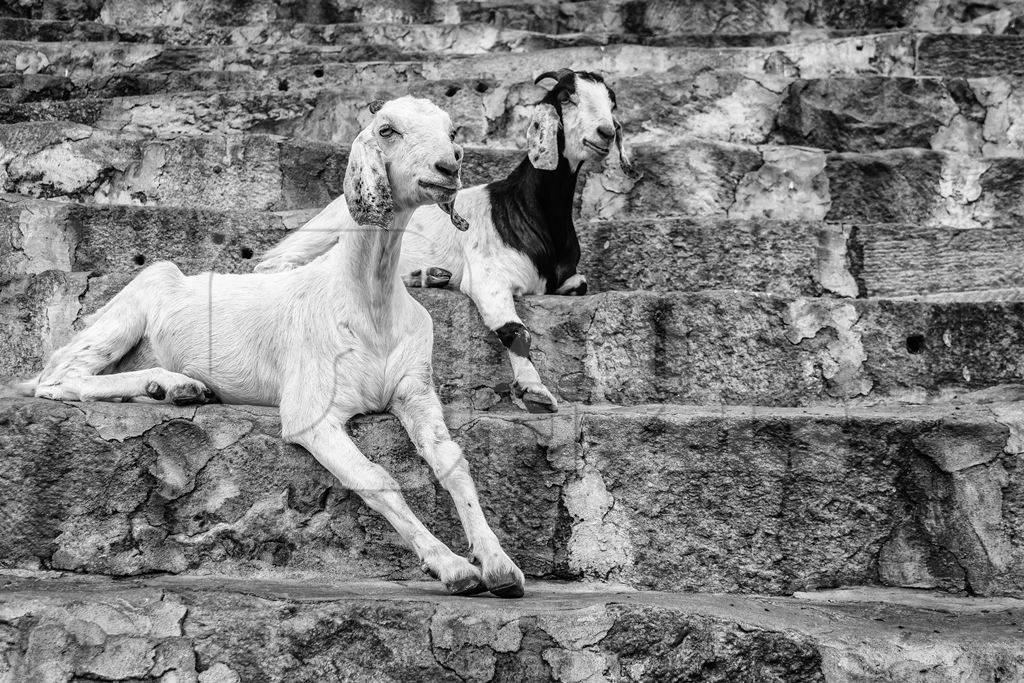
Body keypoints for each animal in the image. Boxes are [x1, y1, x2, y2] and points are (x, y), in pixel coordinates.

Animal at [17, 96, 528, 598]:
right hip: (134, 300)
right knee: (59, 376)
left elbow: (453, 463)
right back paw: (169, 384)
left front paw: (500, 564)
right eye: (387, 129)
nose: (448, 166)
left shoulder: (415, 391)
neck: (370, 305)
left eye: (452, 131)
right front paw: (452, 566)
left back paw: (176, 389)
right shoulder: (311, 412)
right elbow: (377, 478)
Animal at [258, 68, 622, 411]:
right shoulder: (487, 275)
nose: (606, 132)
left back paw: (428, 276)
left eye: (611, 102)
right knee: (274, 266)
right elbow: (514, 328)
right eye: (567, 97)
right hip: (320, 233)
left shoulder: (569, 277)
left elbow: (580, 283)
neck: (523, 209)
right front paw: (534, 389)